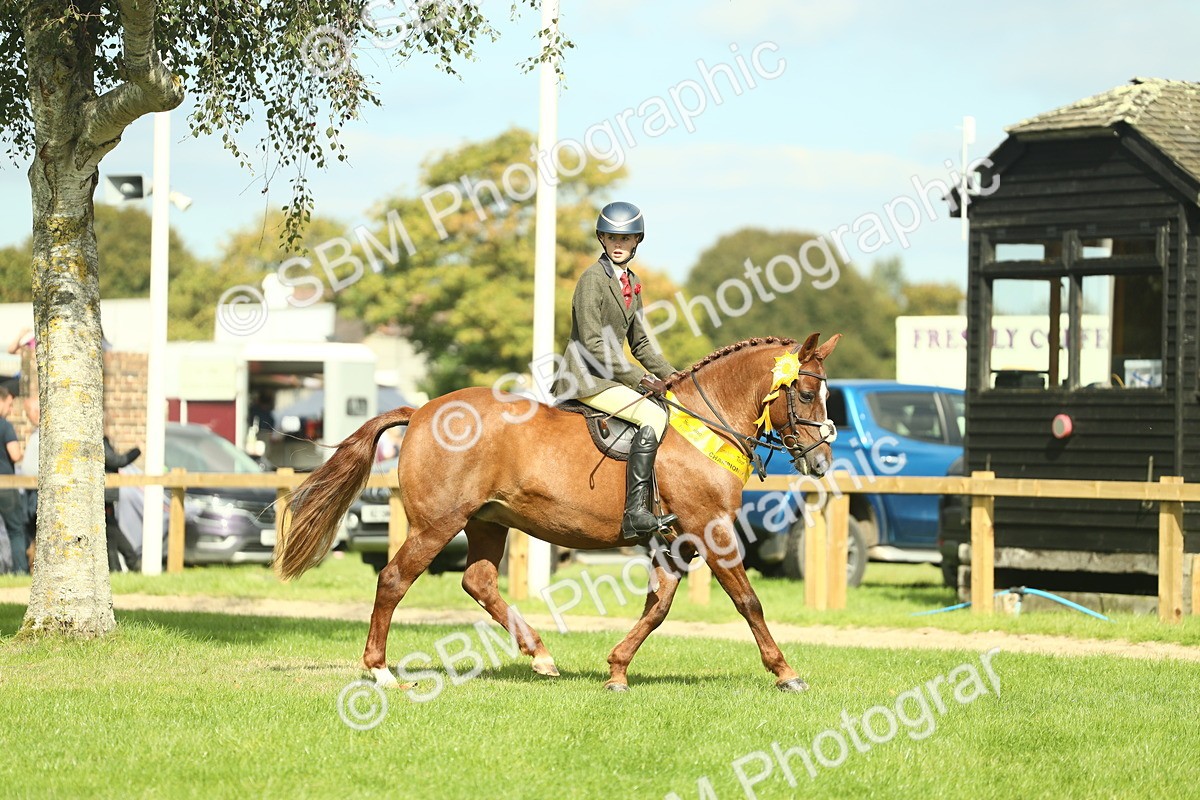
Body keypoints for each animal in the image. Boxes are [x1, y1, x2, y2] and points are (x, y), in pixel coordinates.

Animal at [274, 332, 841, 692]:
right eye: (805, 392)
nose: (820, 461)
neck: (705, 424)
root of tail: (421, 411)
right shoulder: (711, 530)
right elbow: (749, 603)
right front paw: (786, 673)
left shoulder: (676, 542)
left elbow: (657, 607)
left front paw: (617, 671)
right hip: (437, 524)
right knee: (393, 580)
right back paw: (381, 670)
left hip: (486, 522)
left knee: (478, 581)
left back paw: (540, 655)